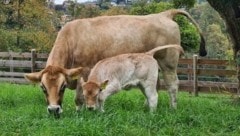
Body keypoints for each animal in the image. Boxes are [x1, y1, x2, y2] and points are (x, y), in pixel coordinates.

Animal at [23, 9, 206, 116]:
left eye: (62, 87)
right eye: (43, 87)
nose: (53, 110)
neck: (72, 39)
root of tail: (164, 14)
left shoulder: (85, 71)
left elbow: (80, 97)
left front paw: (81, 112)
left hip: (168, 63)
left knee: (172, 85)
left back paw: (172, 109)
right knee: (155, 88)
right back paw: (146, 107)